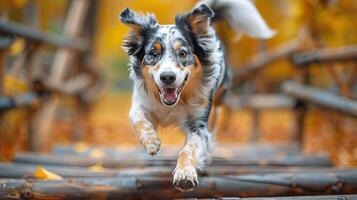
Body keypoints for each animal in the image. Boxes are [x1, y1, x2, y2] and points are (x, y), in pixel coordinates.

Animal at [119, 0, 272, 191]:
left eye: (183, 53)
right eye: (153, 54)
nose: (167, 77)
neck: (174, 103)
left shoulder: (198, 123)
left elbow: (189, 149)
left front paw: (184, 174)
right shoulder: (141, 101)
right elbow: (137, 117)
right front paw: (151, 141)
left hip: (217, 103)